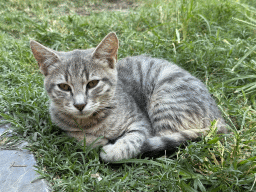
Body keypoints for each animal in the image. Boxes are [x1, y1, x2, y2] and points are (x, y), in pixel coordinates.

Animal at [30, 31, 228, 162]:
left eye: (92, 84)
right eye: (64, 86)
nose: (80, 105)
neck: (92, 122)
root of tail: (218, 117)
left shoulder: (141, 122)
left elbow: (134, 140)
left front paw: (112, 150)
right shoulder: (60, 124)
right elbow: (76, 134)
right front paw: (93, 139)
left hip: (165, 101)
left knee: (167, 141)